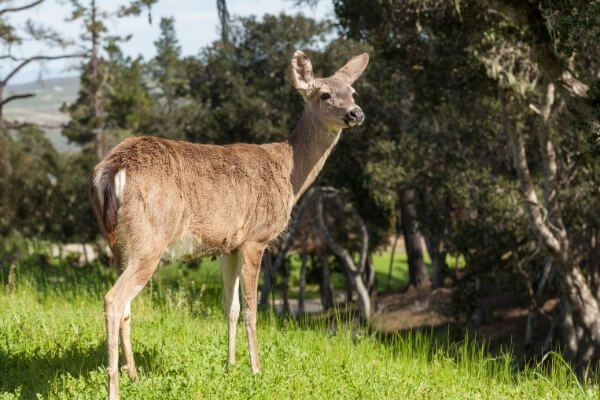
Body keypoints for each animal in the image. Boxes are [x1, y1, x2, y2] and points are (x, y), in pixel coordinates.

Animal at [89, 48, 368, 398]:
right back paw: (114, 388)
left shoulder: (227, 245)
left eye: (353, 92)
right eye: (325, 94)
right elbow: (252, 307)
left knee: (125, 304)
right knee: (113, 300)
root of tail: (112, 170)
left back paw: (135, 375)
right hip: (149, 240)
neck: (289, 173)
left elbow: (230, 306)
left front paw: (230, 366)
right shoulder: (256, 239)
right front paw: (256, 369)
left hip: (118, 242)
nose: (356, 113)